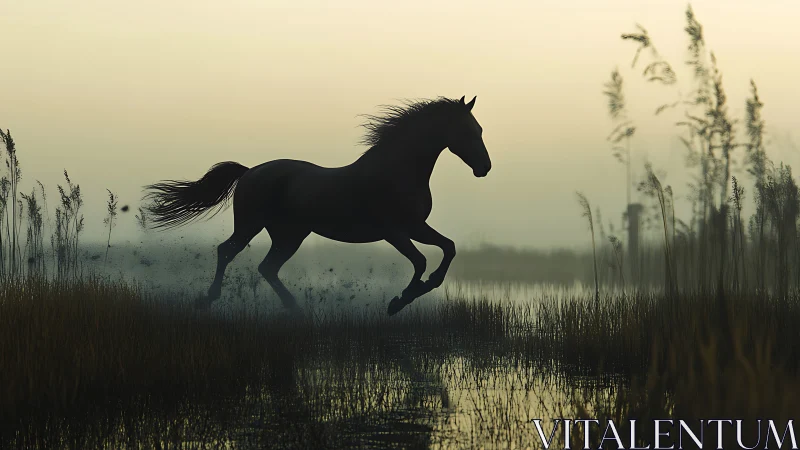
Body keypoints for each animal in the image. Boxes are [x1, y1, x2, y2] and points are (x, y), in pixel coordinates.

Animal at [143, 95, 491, 316]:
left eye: (480, 130)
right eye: (468, 130)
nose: (484, 168)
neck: (397, 171)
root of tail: (250, 171)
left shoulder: (415, 226)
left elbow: (448, 248)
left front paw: (423, 288)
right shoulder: (395, 231)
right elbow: (420, 261)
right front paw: (400, 301)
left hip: (289, 235)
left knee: (267, 267)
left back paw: (295, 308)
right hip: (251, 224)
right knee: (227, 251)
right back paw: (209, 299)